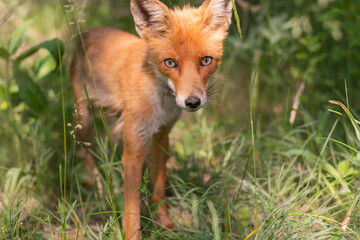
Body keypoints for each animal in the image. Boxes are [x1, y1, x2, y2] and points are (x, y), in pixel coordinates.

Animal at [71, 0, 233, 238]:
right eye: (170, 63)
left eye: (206, 60)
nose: (192, 102)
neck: (160, 106)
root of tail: (88, 32)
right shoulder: (134, 150)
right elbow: (131, 211)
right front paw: (133, 236)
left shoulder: (162, 135)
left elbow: (159, 190)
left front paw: (165, 226)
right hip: (84, 121)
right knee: (87, 155)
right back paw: (95, 189)